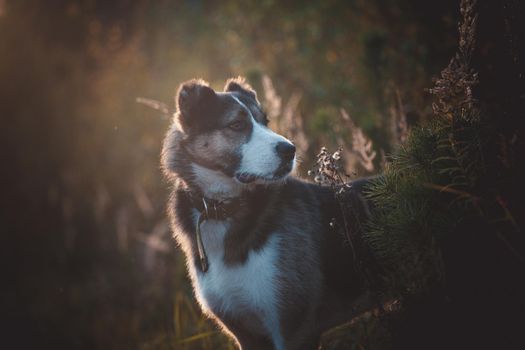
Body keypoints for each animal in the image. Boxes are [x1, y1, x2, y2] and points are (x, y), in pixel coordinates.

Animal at [162, 77, 370, 350]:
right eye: (236, 124)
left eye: (266, 121)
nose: (290, 150)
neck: (221, 209)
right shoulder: (245, 333)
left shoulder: (294, 327)